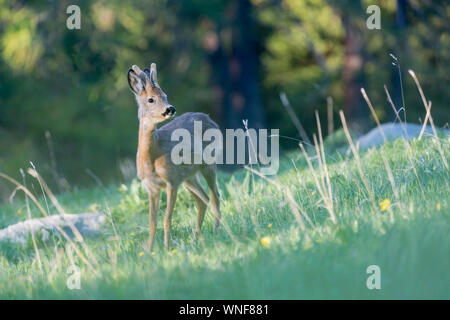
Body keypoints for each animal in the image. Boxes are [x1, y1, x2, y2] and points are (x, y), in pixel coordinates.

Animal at [126, 62, 221, 251]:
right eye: (151, 99)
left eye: (165, 95)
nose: (170, 109)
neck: (152, 158)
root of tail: (209, 119)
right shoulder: (152, 186)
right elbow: (152, 222)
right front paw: (149, 250)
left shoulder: (171, 181)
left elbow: (166, 219)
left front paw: (167, 248)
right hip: (188, 178)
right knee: (204, 200)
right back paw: (197, 236)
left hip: (207, 164)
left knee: (215, 196)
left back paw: (216, 232)